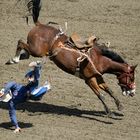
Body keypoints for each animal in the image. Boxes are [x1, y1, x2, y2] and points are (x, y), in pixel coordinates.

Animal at [6, 0, 137, 116]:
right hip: (36, 50)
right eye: (131, 78)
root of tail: (39, 24)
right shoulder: (89, 79)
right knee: (20, 42)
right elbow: (100, 95)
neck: (99, 59)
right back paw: (14, 59)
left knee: (25, 51)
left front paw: (120, 106)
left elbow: (109, 90)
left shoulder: (98, 77)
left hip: (36, 51)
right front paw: (109, 112)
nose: (133, 93)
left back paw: (15, 59)